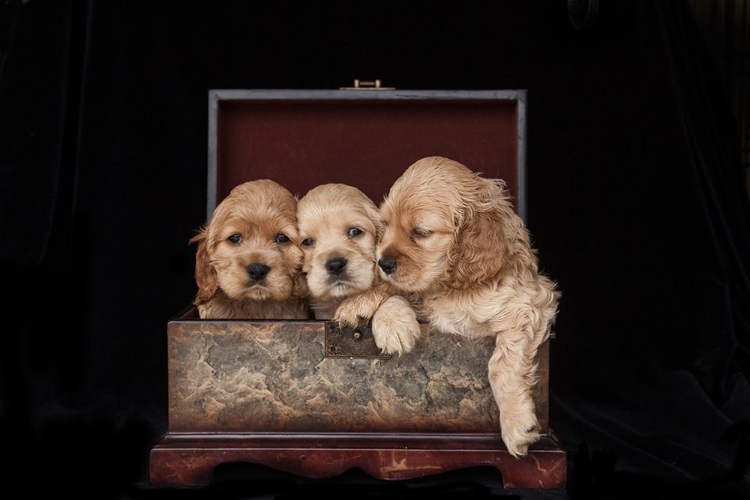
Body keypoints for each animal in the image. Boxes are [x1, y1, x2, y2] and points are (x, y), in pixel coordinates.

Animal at [378, 156, 560, 458]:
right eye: (386, 225)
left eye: (421, 232)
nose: (382, 263)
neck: (451, 288)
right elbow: (393, 295)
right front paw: (394, 328)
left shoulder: (527, 305)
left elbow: (501, 366)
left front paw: (516, 425)